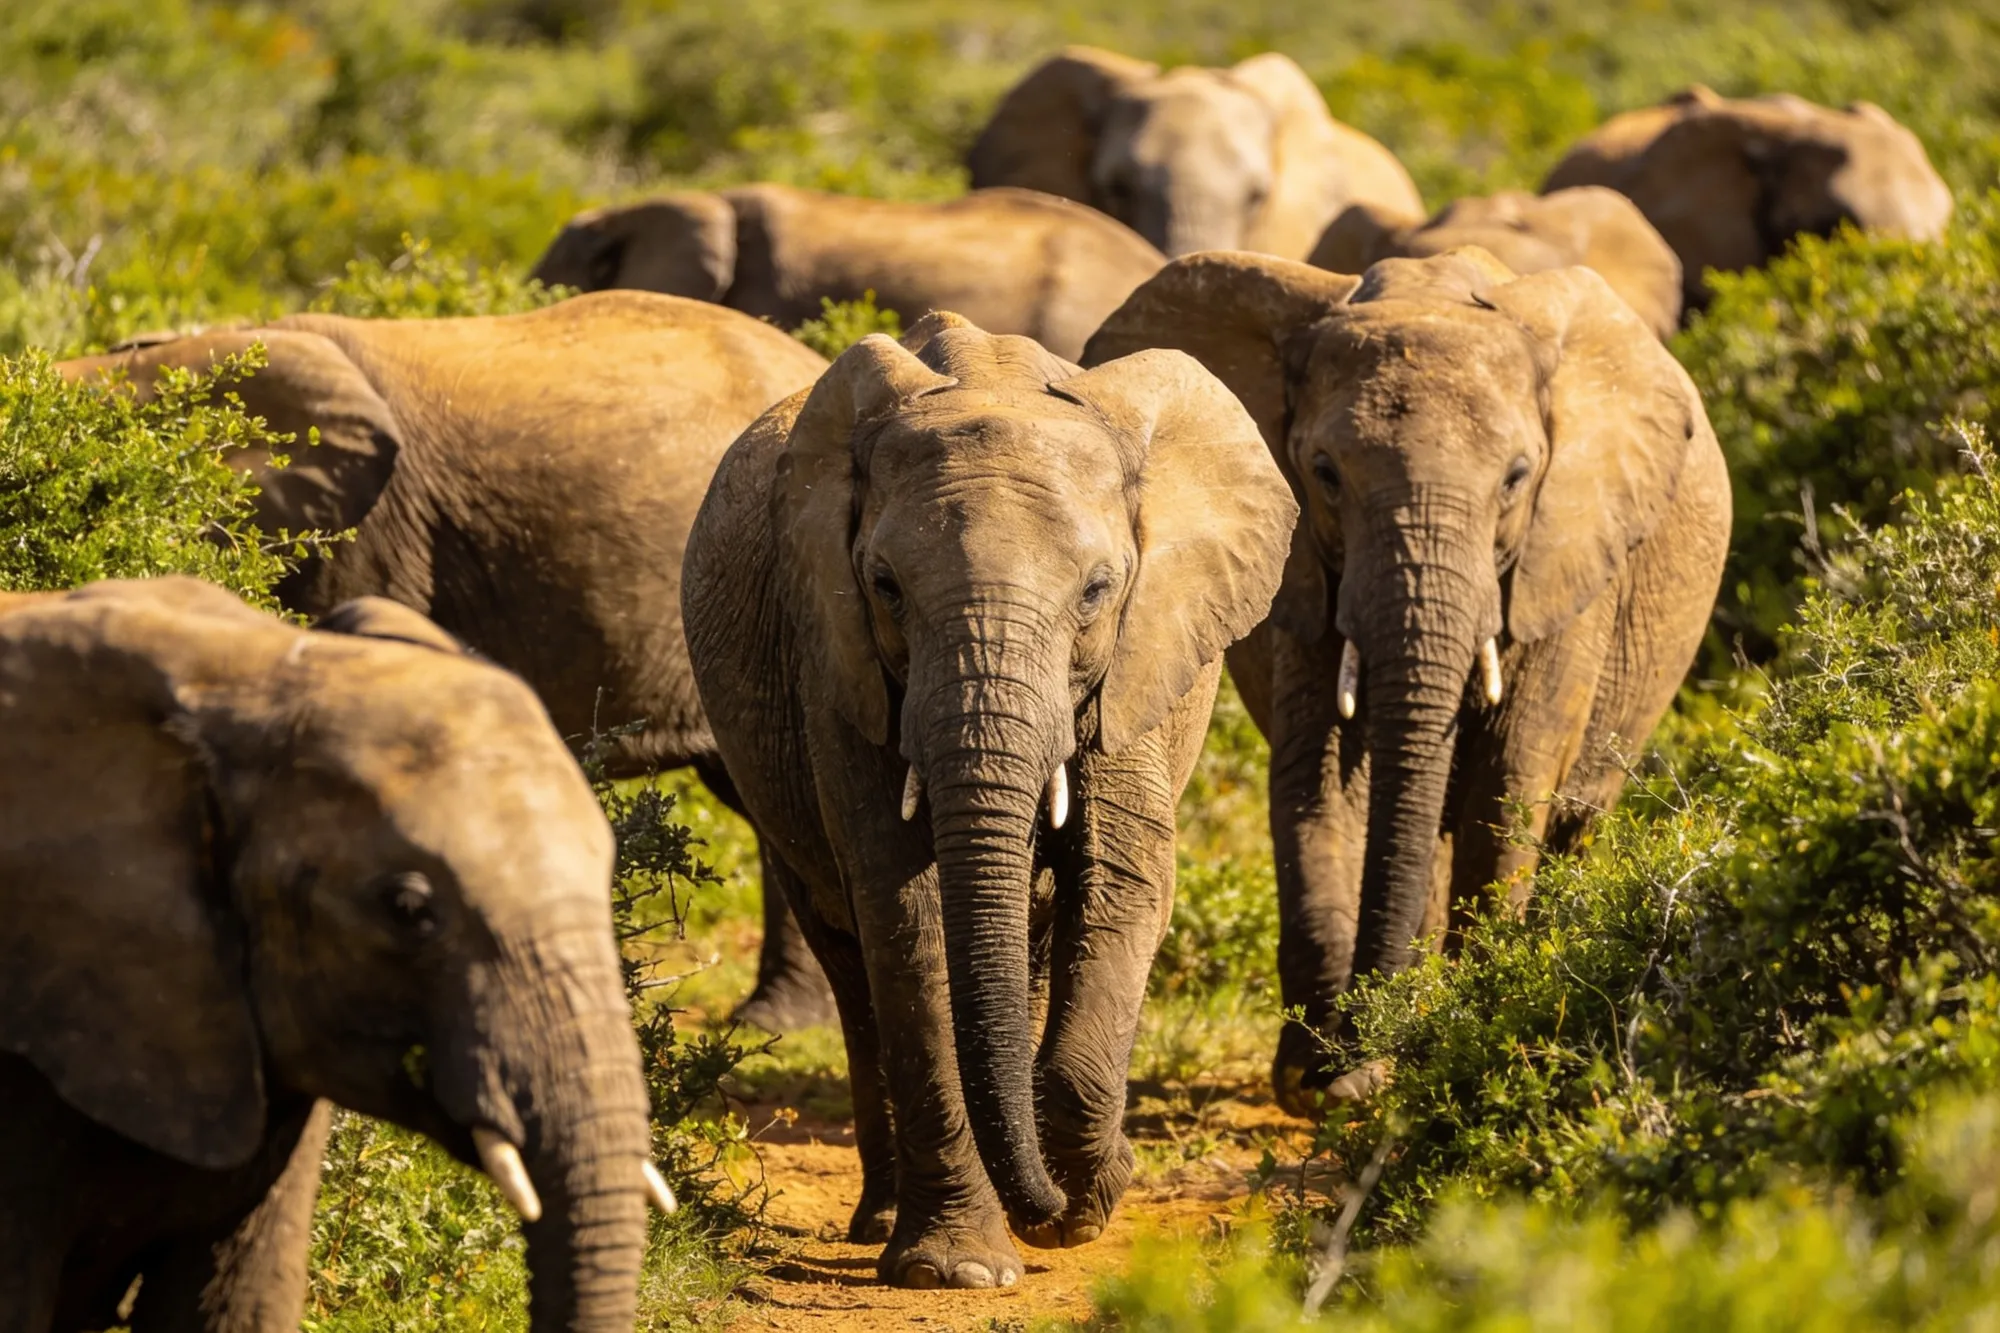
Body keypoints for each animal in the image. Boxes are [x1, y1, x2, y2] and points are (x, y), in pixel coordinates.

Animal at [681, 313, 1294, 1286]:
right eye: (886, 586)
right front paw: (959, 1267)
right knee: (849, 959)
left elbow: (1124, 883)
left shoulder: (1140, 660)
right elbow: (905, 910)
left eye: (1098, 590)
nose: (1057, 1204)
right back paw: (886, 1218)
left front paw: (1079, 1197)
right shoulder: (835, 660)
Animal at [1084, 248, 1731, 1112]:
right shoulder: (1307, 573)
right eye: (1325, 473)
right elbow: (1321, 781)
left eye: (1517, 477)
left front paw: (1466, 1040)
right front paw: (1321, 1076)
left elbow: (1510, 778)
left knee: (1567, 821)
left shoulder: (1563, 563)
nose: (1353, 1064)